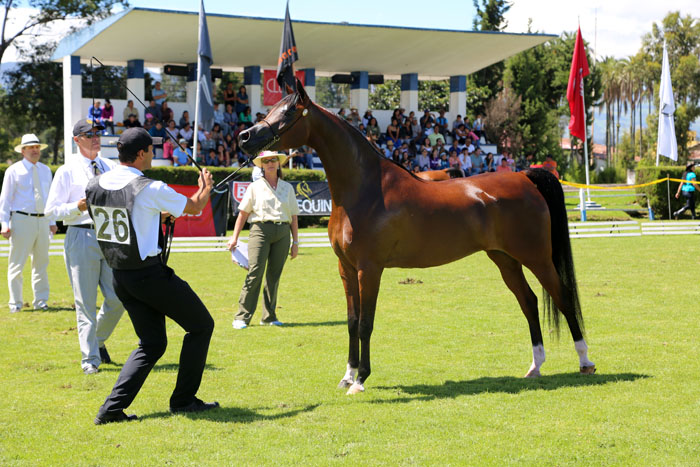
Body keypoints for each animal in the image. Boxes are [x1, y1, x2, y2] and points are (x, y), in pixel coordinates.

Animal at [238, 79, 592, 394]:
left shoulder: (370, 269)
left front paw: (361, 380)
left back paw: (585, 361)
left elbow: (366, 323)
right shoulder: (346, 269)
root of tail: (525, 176)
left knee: (562, 297)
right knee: (529, 302)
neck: (364, 188)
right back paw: (535, 366)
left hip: (537, 258)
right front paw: (347, 376)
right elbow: (352, 321)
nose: (244, 136)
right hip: (505, 259)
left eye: (288, 112)